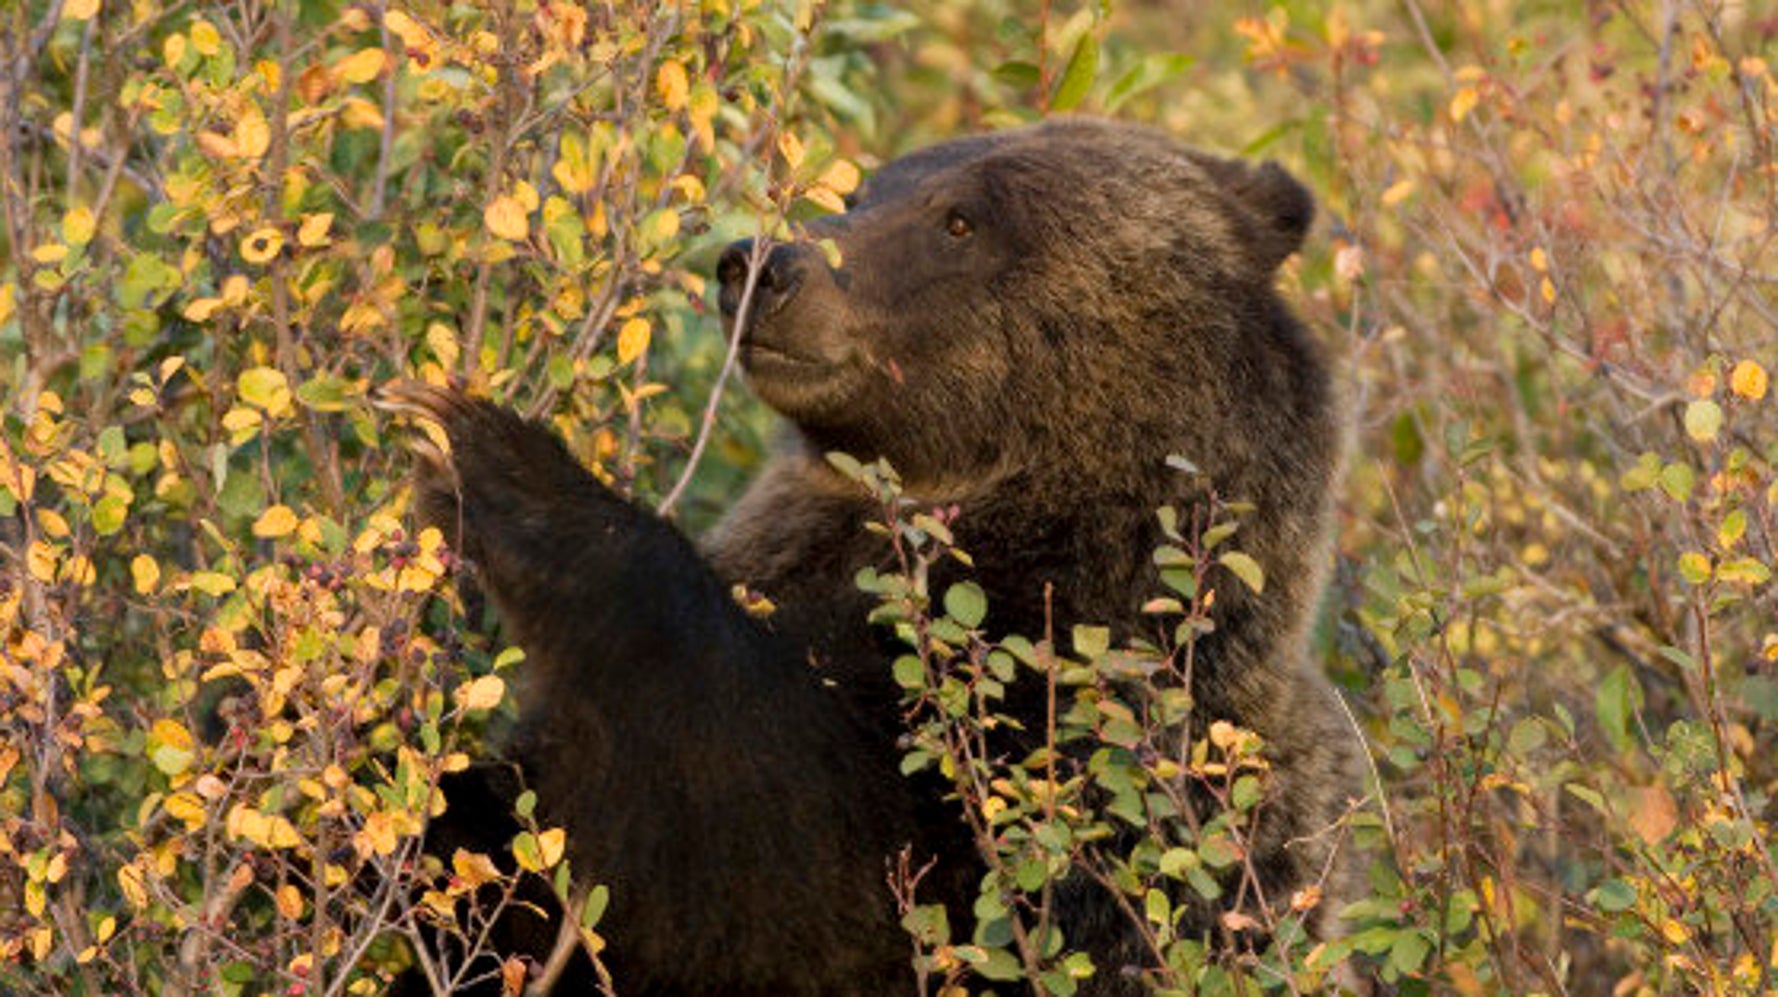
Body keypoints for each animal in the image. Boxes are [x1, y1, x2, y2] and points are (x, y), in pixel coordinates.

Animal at [392, 114, 1358, 988]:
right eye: (861, 193)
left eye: (962, 219)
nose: (760, 264)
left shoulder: (1063, 743)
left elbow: (799, 852)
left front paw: (488, 453)